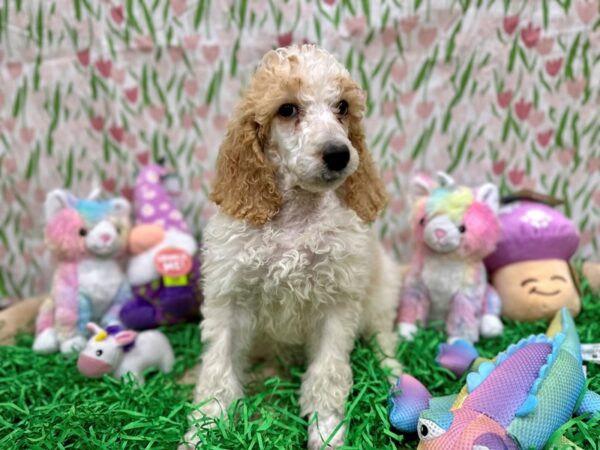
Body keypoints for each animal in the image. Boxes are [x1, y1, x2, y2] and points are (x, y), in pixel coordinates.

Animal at [186, 44, 404, 448]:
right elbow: (217, 376)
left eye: (342, 107)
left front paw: (327, 434)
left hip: (382, 291)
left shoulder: (337, 304)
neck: (295, 218)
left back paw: (394, 375)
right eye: (287, 109)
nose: (339, 153)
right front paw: (200, 434)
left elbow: (327, 378)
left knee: (384, 336)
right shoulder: (229, 300)